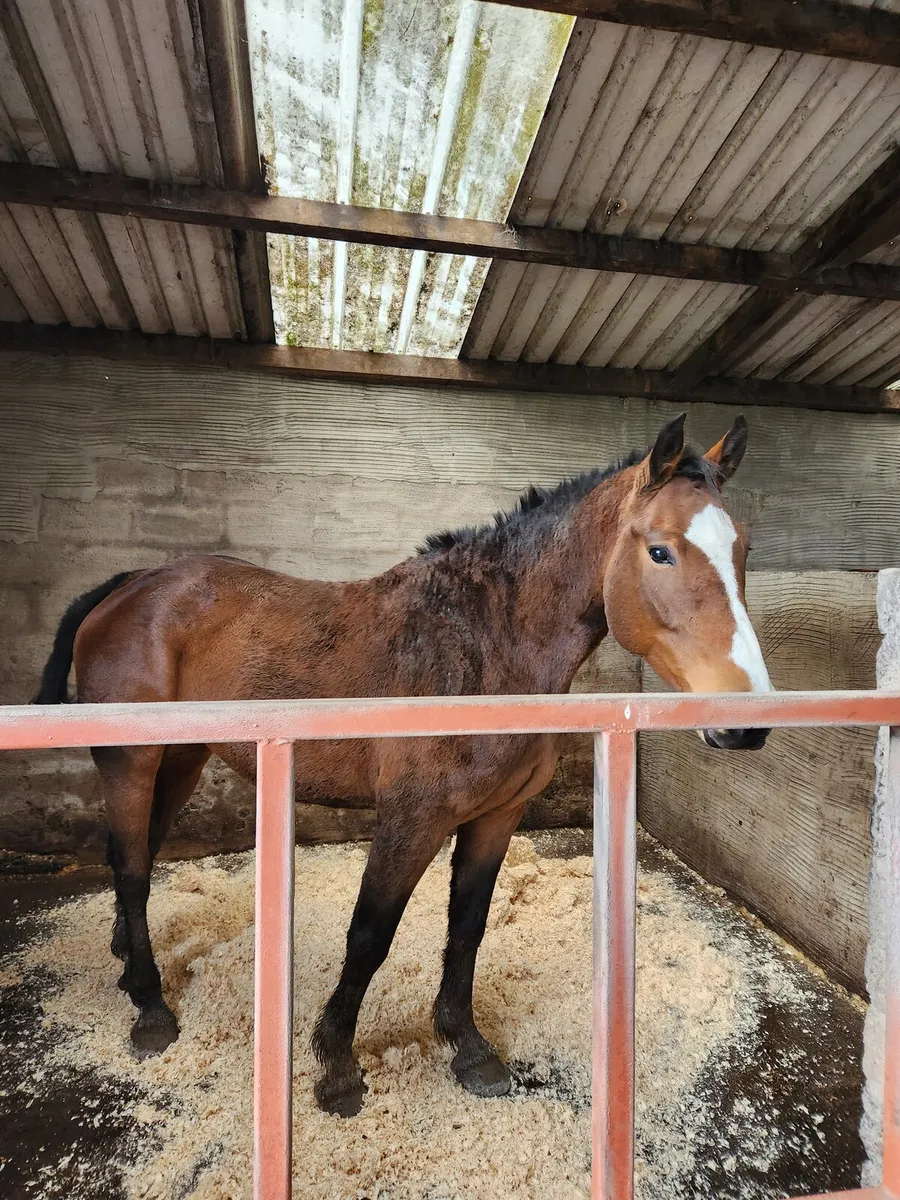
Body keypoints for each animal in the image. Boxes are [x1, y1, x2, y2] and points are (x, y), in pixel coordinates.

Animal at [32, 411, 770, 1117]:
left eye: (742, 549)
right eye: (660, 550)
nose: (748, 720)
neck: (483, 645)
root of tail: (131, 585)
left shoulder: (496, 817)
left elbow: (466, 928)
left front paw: (468, 1048)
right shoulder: (411, 819)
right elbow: (369, 935)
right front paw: (336, 1065)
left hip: (180, 760)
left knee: (140, 853)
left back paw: (127, 964)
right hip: (131, 761)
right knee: (131, 868)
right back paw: (150, 1009)